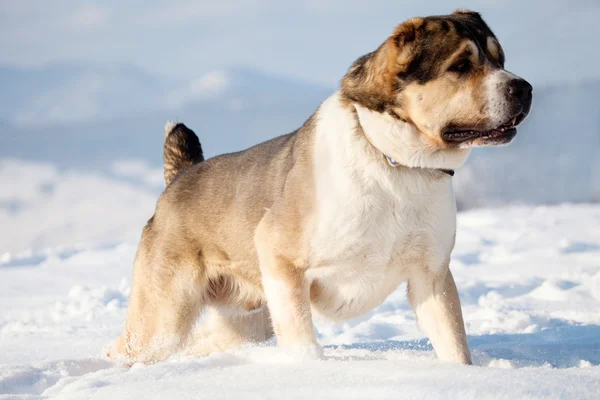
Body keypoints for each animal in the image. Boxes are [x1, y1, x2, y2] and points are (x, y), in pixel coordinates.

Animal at [106, 10, 528, 366]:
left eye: (500, 59)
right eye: (460, 65)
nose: (524, 88)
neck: (394, 163)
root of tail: (180, 178)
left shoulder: (432, 275)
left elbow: (454, 343)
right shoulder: (282, 261)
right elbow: (301, 339)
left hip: (245, 319)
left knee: (203, 343)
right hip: (164, 316)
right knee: (125, 348)